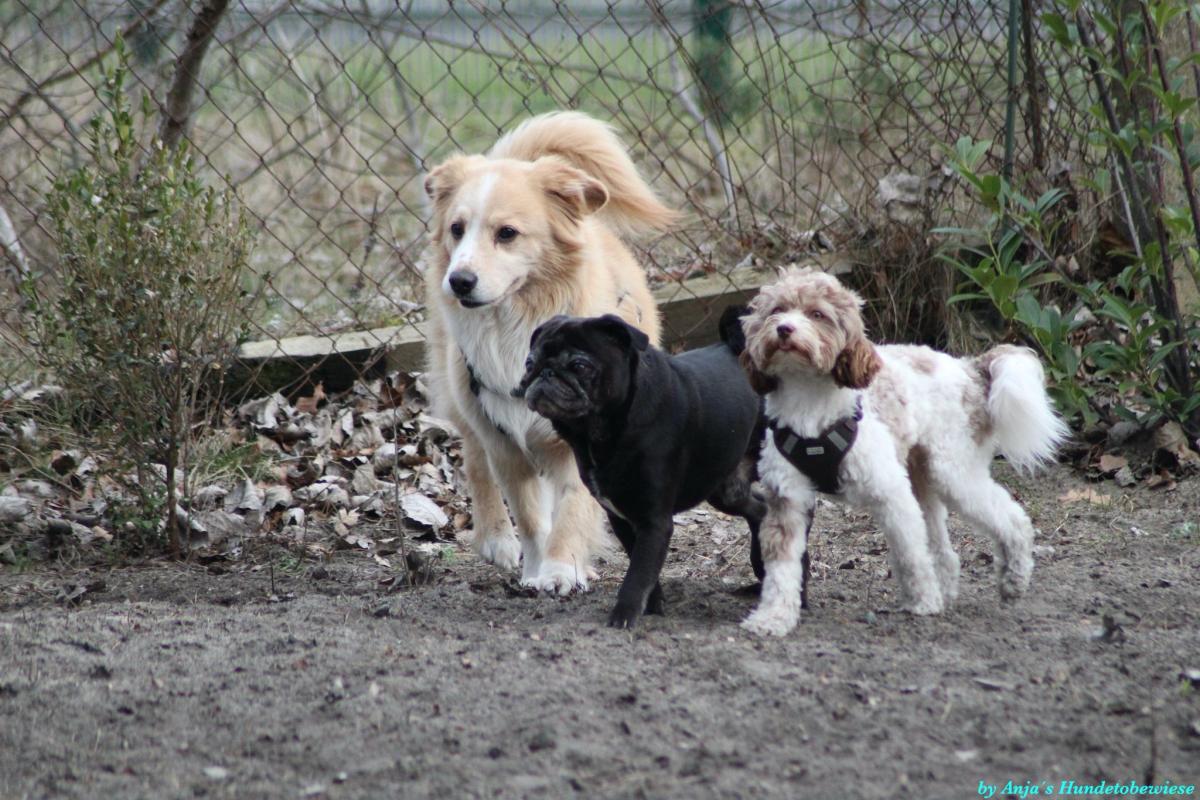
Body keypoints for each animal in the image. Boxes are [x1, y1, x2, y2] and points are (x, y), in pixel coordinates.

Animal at [421, 111, 677, 594]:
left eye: (507, 233)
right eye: (457, 229)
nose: (459, 280)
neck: (516, 323)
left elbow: (573, 508)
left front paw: (561, 568)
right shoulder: (504, 440)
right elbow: (529, 515)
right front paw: (538, 567)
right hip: (465, 396)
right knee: (474, 457)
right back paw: (496, 537)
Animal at [517, 307, 797, 628]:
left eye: (579, 365)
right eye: (530, 363)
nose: (545, 372)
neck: (598, 435)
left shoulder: (654, 521)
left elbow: (638, 573)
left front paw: (623, 615)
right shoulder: (622, 518)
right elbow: (641, 565)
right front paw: (653, 604)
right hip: (724, 489)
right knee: (758, 508)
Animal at [738, 267, 1068, 636]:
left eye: (817, 314)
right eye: (777, 309)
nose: (784, 329)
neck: (809, 405)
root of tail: (971, 369)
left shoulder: (890, 492)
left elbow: (910, 551)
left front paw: (923, 601)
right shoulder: (786, 501)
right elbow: (780, 569)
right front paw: (773, 617)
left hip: (953, 473)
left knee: (1011, 518)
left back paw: (1013, 579)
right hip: (923, 478)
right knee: (942, 546)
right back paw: (948, 588)